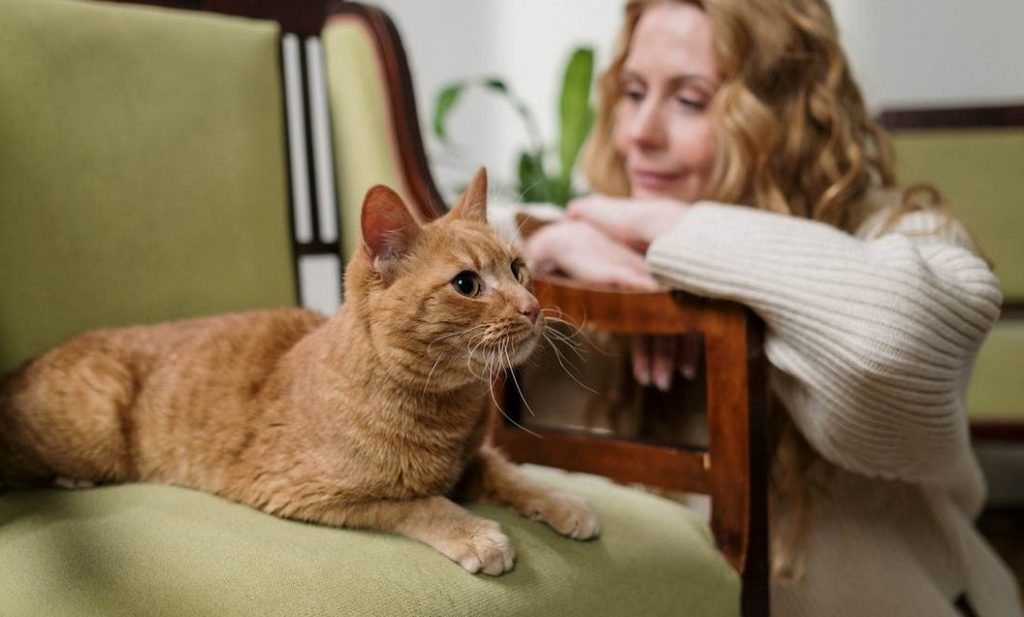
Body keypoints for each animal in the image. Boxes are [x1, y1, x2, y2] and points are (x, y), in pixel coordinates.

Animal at [0, 168, 598, 573]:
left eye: (518, 269)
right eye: (467, 285)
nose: (532, 307)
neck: (446, 413)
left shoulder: (474, 461)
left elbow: (512, 474)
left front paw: (565, 501)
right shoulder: (311, 494)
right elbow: (419, 503)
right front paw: (476, 534)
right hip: (94, 429)